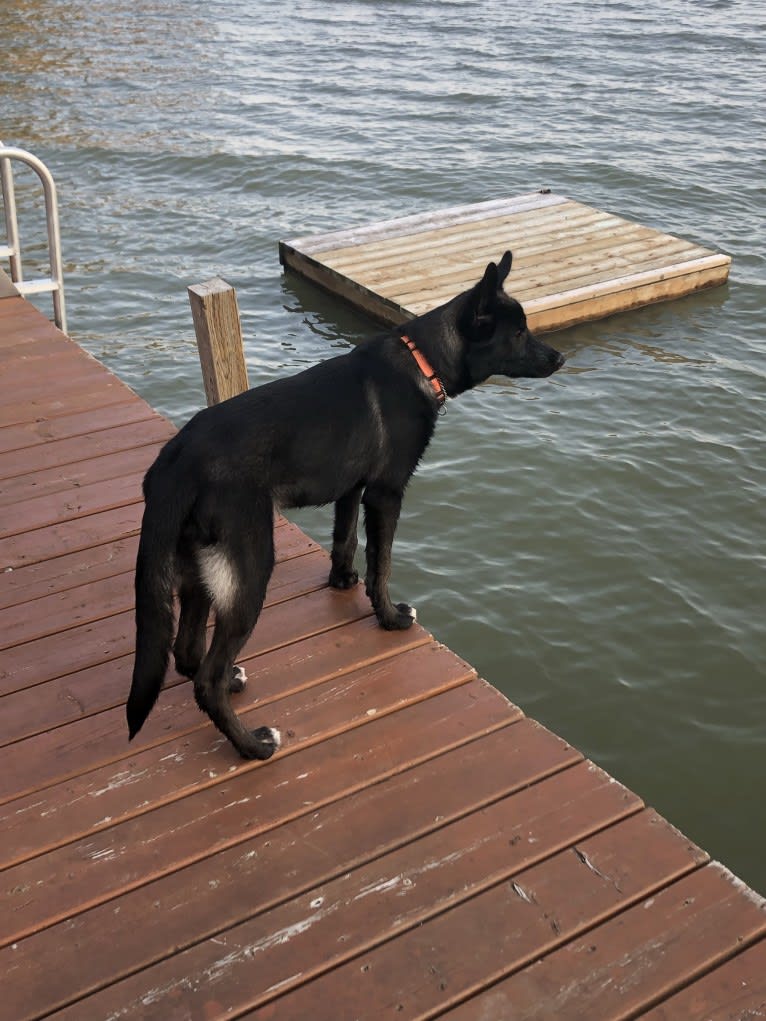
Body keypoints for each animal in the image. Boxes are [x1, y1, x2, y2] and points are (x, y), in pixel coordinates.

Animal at [129, 248, 567, 759]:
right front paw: (390, 618)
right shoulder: (386, 492)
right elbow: (382, 565)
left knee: (186, 655)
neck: (424, 360)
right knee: (206, 679)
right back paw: (253, 745)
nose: (560, 358)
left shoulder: (351, 489)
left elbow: (345, 540)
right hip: (249, 568)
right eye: (517, 333)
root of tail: (173, 464)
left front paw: (341, 582)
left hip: (200, 570)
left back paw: (234, 685)